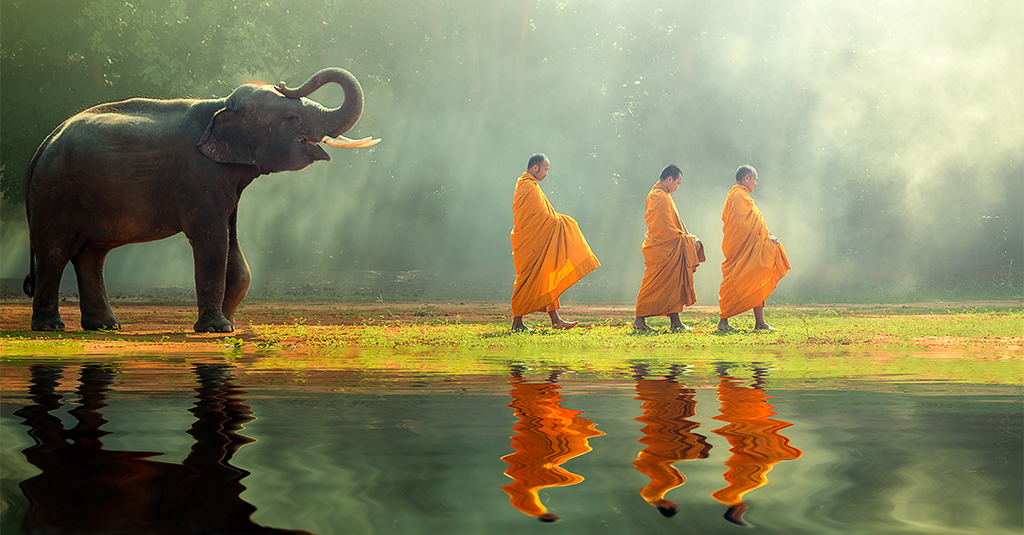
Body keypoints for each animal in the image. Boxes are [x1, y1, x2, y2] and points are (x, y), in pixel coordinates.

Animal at [22, 67, 379, 333]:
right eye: (291, 117)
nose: (282, 82)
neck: (221, 103)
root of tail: (43, 144)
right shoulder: (199, 174)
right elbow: (211, 239)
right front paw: (217, 329)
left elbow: (232, 246)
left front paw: (229, 325)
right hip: (55, 192)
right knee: (55, 252)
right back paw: (51, 327)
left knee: (91, 255)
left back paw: (106, 326)